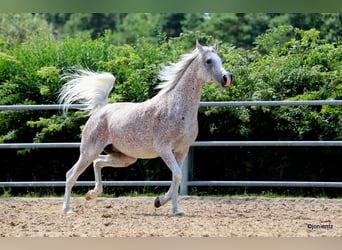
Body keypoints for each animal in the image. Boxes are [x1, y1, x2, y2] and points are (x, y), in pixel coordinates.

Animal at [60, 40, 232, 215]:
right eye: (208, 61)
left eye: (220, 60)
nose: (226, 78)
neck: (176, 107)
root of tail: (101, 109)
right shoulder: (164, 149)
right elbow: (177, 175)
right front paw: (159, 201)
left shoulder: (182, 150)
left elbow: (176, 178)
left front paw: (175, 209)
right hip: (89, 151)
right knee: (71, 175)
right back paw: (67, 209)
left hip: (125, 158)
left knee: (98, 163)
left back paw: (91, 194)